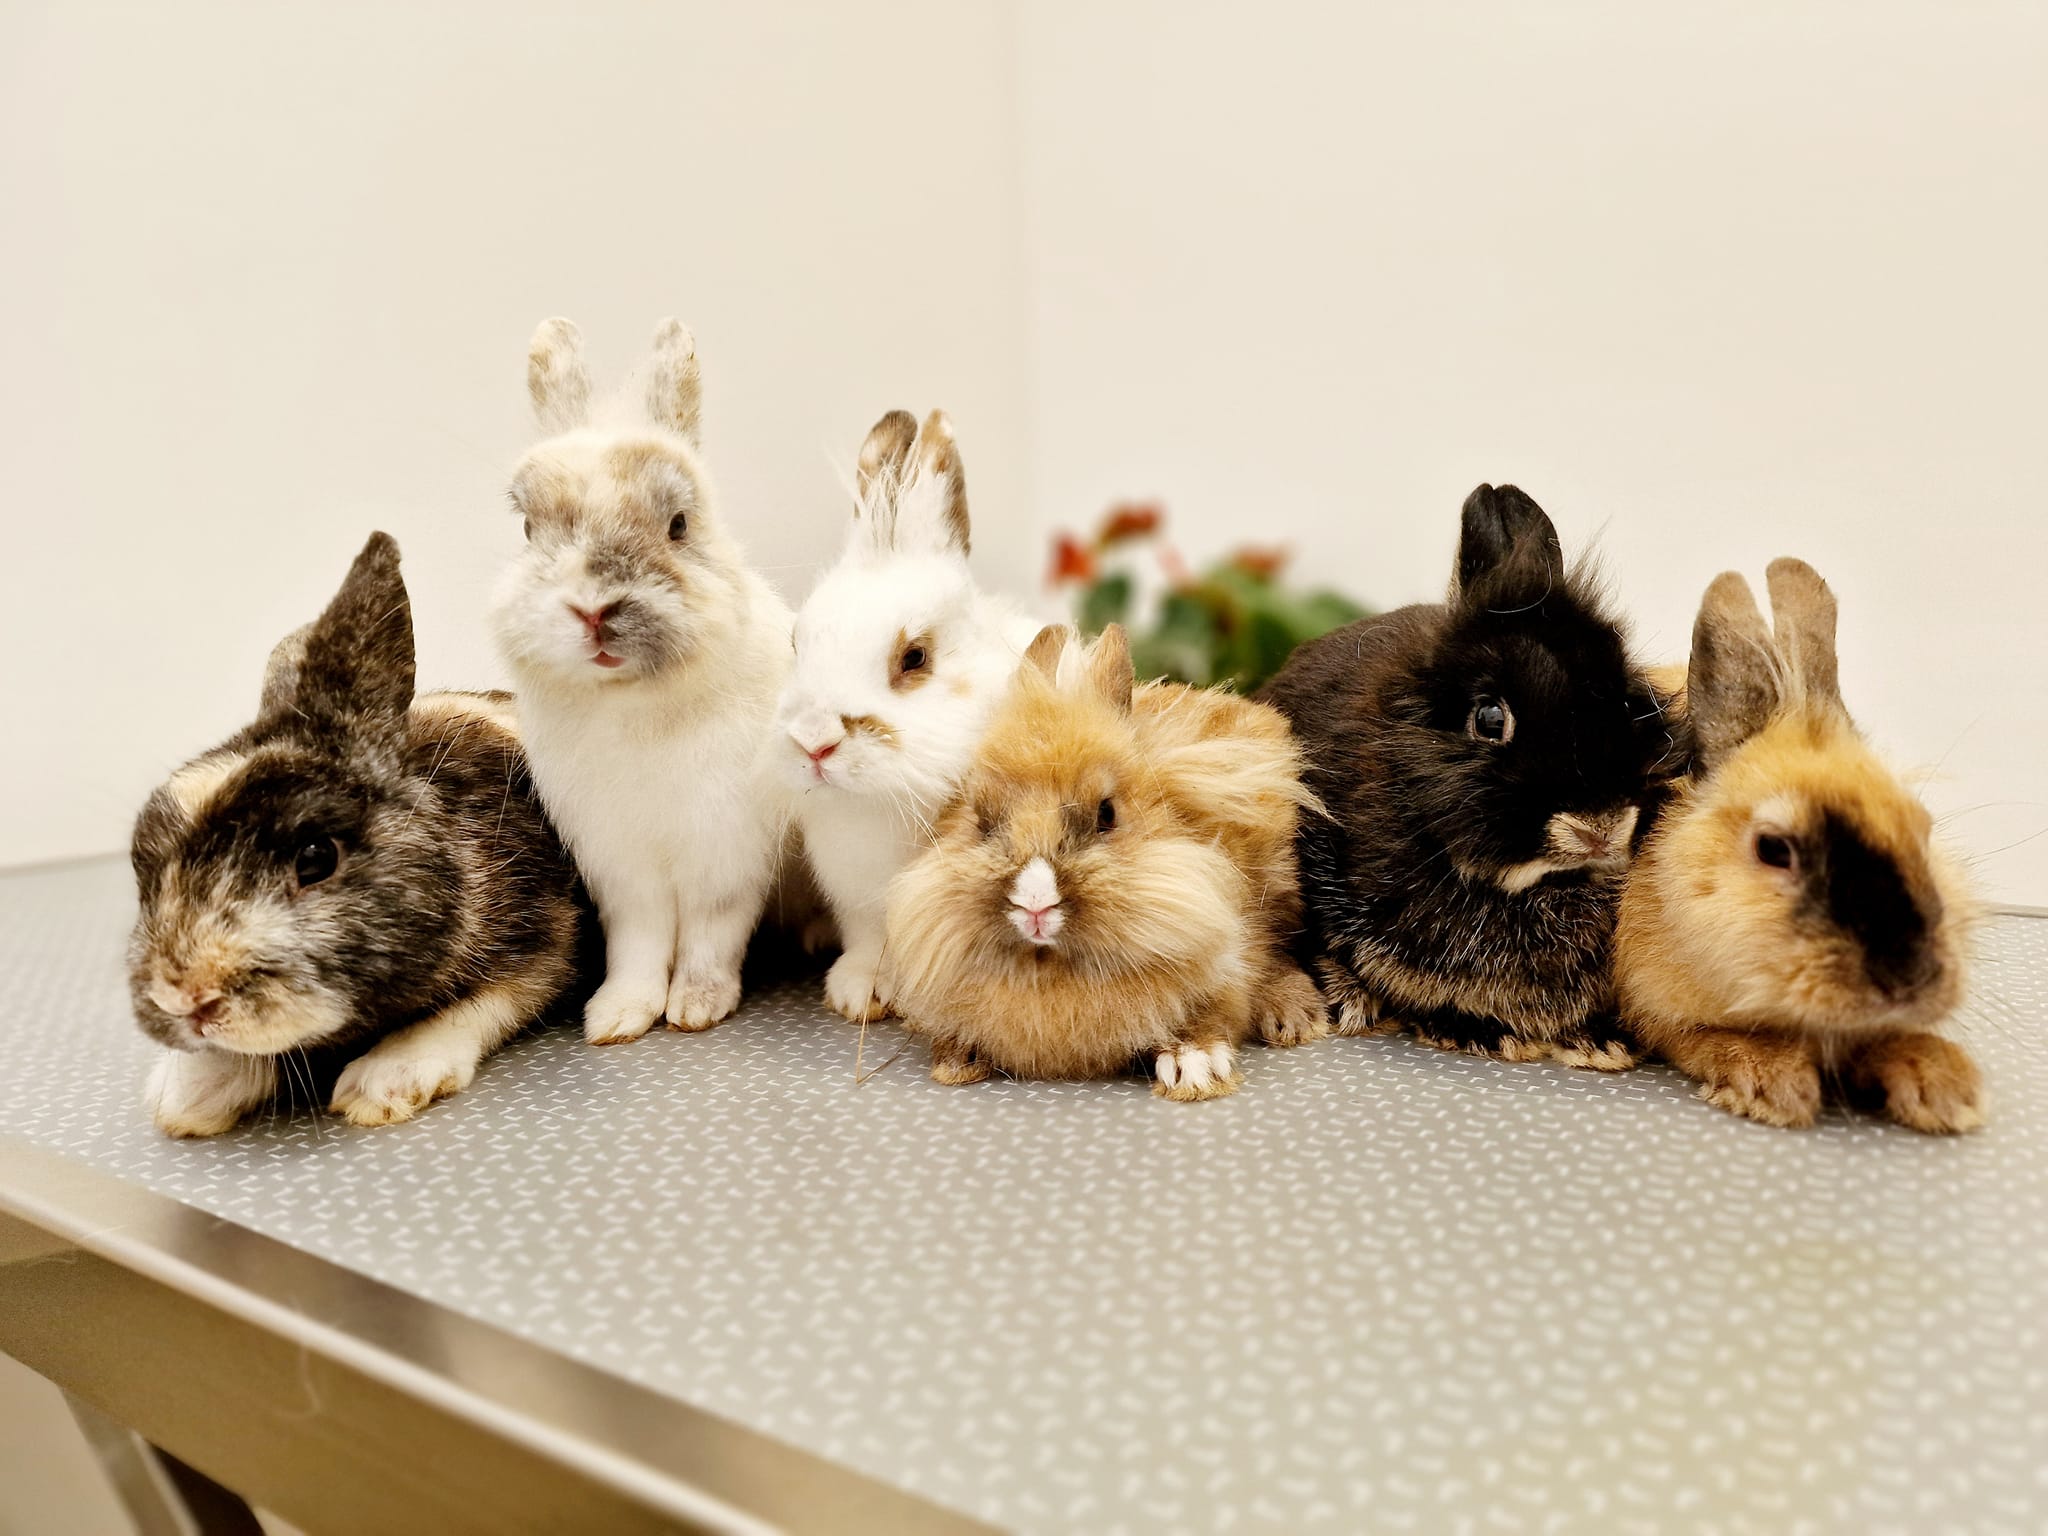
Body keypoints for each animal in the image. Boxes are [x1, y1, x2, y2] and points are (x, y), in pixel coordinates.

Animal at [128, 533, 588, 1137]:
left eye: (316, 858)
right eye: (144, 865)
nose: (182, 997)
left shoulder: (547, 933)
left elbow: (486, 1001)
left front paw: (383, 1081)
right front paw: (189, 1092)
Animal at [492, 317, 798, 1044]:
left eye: (678, 525)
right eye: (528, 529)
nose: (595, 611)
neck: (631, 704)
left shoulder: (726, 855)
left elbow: (711, 937)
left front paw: (697, 1006)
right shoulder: (623, 870)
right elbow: (639, 943)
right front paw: (618, 1015)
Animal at [775, 407, 1043, 1023]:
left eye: (914, 657)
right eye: (796, 641)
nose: (814, 741)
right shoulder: (859, 901)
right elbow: (870, 941)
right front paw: (859, 994)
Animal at [886, 623, 1326, 1100]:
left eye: (1107, 814)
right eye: (981, 820)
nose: (1035, 903)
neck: (1051, 970)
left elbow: (1215, 1013)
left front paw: (1194, 1069)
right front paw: (956, 1059)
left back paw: (1296, 1020)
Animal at [1614, 558, 1982, 1133]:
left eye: (1922, 828)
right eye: (1773, 849)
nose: (1908, 978)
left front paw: (1943, 1086)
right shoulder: (1657, 1011)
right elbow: (1706, 1036)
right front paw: (1774, 1081)